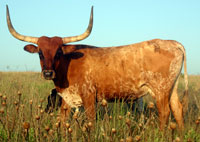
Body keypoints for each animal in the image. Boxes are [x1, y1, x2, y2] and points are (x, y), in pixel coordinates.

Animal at [5, 5, 188, 129]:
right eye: (40, 53)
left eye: (58, 52)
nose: (48, 73)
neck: (68, 65)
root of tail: (173, 43)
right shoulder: (67, 99)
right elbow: (63, 121)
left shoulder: (89, 96)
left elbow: (91, 122)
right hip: (172, 88)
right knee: (178, 110)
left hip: (161, 89)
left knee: (164, 113)